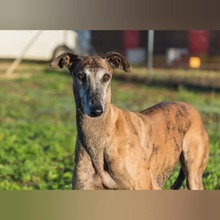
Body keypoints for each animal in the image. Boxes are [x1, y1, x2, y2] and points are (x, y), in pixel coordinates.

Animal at [50, 51, 210, 189]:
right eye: (81, 76)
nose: (97, 110)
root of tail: (191, 107)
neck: (100, 140)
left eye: (106, 76)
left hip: (193, 176)